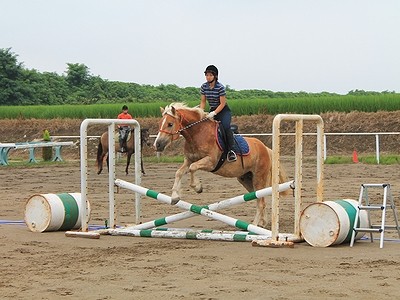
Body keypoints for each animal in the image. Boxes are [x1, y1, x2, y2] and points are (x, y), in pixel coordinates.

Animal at [153, 103, 288, 227]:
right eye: (159, 124)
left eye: (170, 124)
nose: (157, 144)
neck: (197, 134)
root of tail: (265, 148)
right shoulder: (189, 160)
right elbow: (179, 172)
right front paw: (175, 197)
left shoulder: (210, 162)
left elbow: (192, 168)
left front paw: (197, 187)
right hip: (246, 179)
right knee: (260, 199)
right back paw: (262, 223)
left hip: (258, 178)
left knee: (260, 202)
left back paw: (254, 225)